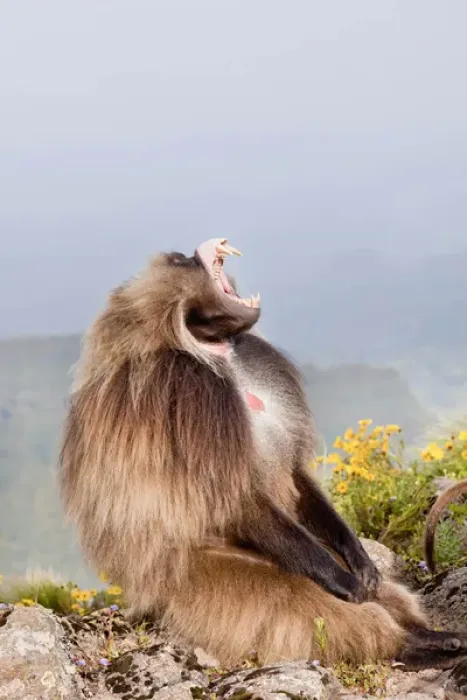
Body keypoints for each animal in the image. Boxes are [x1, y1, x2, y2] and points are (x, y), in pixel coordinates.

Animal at [59, 237, 467, 672]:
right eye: (180, 262)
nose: (185, 250)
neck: (209, 349)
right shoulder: (190, 393)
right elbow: (237, 498)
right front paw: (344, 580)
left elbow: (295, 473)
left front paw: (360, 561)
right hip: (198, 580)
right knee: (304, 600)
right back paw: (408, 644)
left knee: (377, 595)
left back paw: (431, 635)